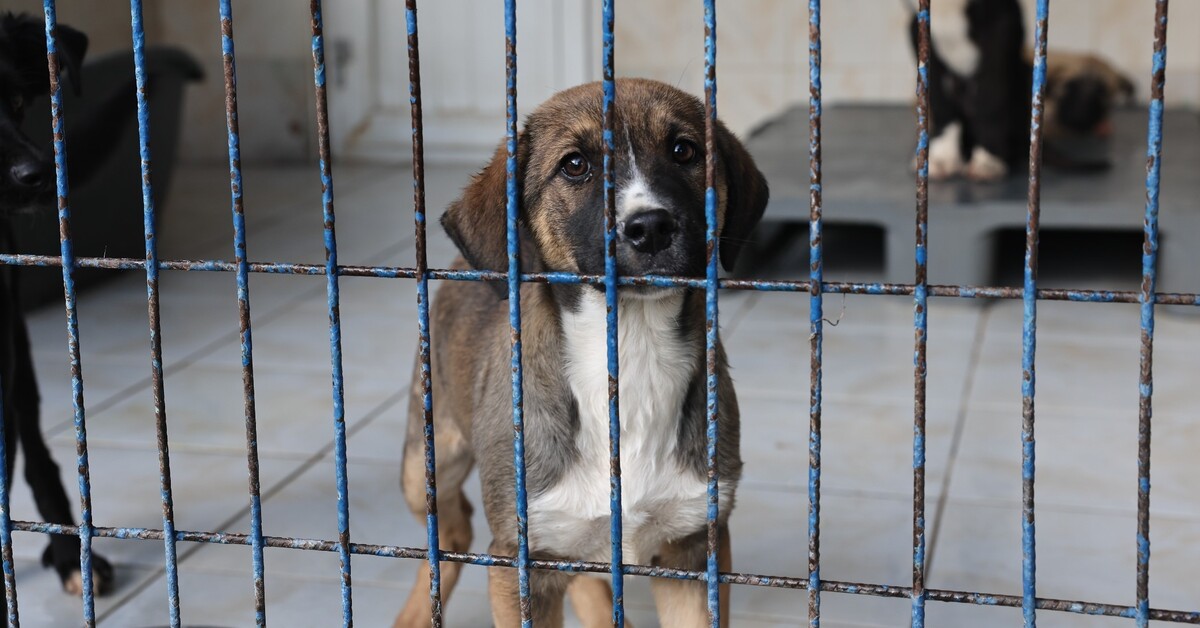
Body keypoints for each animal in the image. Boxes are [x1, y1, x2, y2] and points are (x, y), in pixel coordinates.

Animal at [393, 79, 768, 628]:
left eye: (685, 151)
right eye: (574, 165)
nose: (651, 227)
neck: (631, 354)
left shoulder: (695, 547)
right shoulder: (522, 562)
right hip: (425, 460)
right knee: (450, 530)